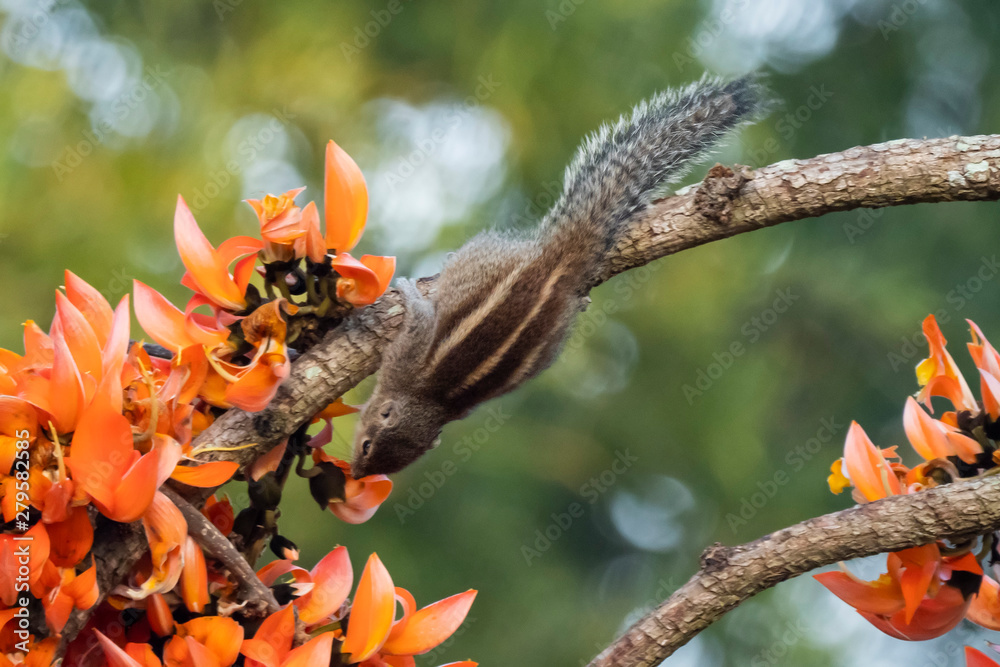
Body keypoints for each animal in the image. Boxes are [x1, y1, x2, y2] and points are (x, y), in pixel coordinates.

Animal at [351, 74, 766, 478]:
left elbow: (419, 321)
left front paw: (409, 294)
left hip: (483, 256)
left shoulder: (406, 358)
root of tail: (557, 259)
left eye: (369, 448)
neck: (428, 400)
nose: (355, 473)